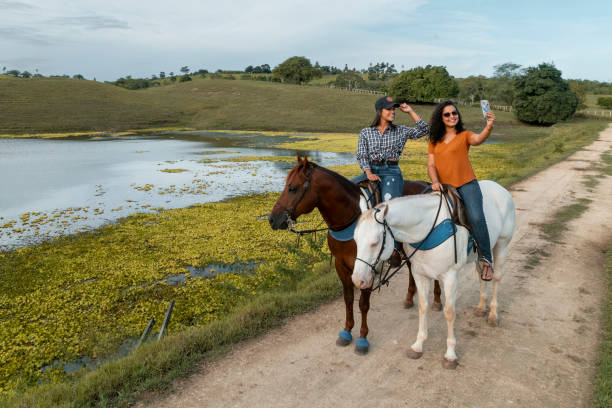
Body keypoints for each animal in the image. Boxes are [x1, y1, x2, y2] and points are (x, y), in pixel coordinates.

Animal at [268, 156, 440, 354]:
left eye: (292, 188)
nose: (272, 219)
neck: (351, 219)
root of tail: (427, 185)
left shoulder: (369, 266)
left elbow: (363, 304)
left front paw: (363, 339)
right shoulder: (341, 265)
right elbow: (348, 299)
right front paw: (347, 331)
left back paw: (437, 300)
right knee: (412, 268)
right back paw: (409, 298)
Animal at [352, 180, 512, 368]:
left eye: (375, 242)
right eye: (355, 240)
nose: (358, 280)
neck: (427, 229)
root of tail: (500, 188)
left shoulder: (451, 277)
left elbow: (449, 312)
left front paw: (450, 354)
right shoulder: (419, 274)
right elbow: (423, 306)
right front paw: (418, 345)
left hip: (501, 244)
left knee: (496, 278)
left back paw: (493, 314)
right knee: (481, 274)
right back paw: (481, 307)